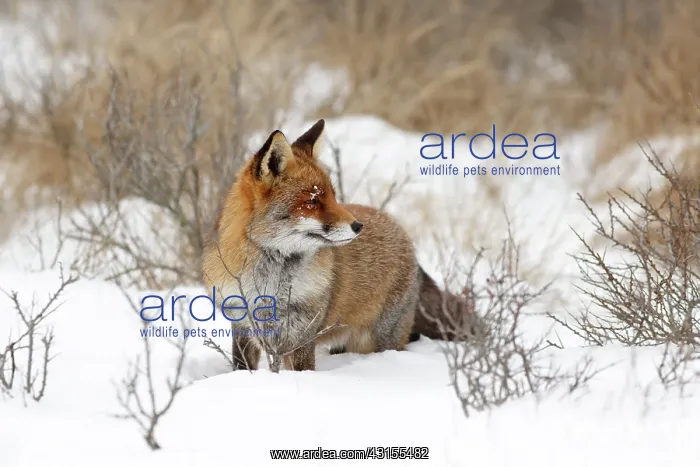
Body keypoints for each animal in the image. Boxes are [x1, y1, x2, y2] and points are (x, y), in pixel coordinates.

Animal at [201, 119, 474, 371]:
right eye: (312, 201)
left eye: (333, 196)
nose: (358, 226)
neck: (269, 282)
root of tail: (405, 236)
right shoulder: (242, 324)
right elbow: (242, 366)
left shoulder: (301, 335)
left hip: (376, 342)